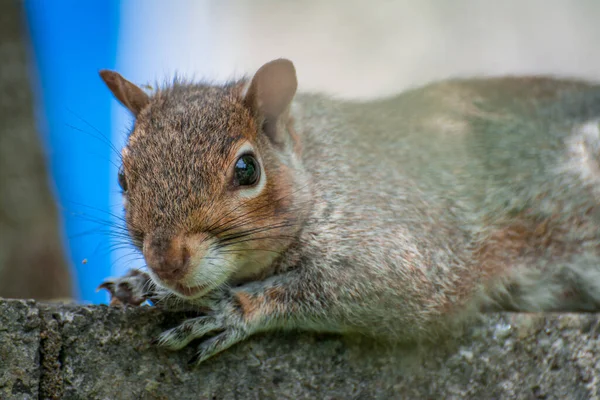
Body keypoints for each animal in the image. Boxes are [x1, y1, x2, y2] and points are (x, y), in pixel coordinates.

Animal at [98, 57, 600, 364]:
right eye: (122, 178)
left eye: (247, 169)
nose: (166, 261)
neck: (318, 170)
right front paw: (138, 282)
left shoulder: (404, 238)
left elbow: (380, 286)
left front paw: (229, 308)